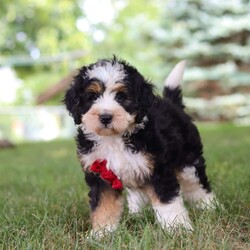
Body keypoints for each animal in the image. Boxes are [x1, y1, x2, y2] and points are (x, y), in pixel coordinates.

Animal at [64, 57, 217, 238]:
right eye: (92, 96)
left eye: (121, 97)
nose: (105, 117)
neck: (114, 138)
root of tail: (172, 103)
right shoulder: (100, 175)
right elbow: (103, 205)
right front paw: (102, 233)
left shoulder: (158, 169)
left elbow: (167, 201)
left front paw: (177, 228)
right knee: (137, 191)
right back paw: (138, 214)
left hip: (188, 161)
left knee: (197, 185)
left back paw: (210, 207)